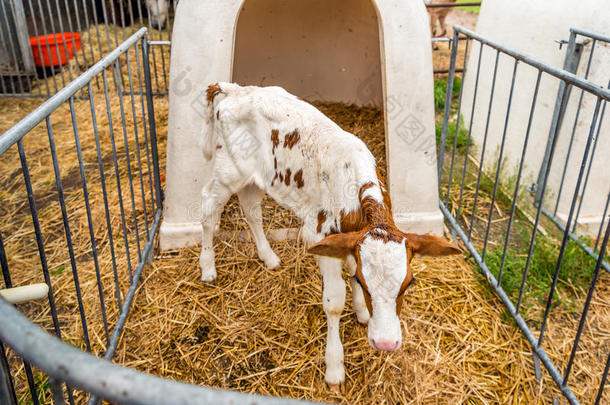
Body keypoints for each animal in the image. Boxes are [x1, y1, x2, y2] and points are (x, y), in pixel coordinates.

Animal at [197, 82, 458, 388]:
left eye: (409, 283)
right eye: (366, 284)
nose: (385, 343)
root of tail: (233, 89)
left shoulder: (350, 239)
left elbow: (352, 266)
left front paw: (362, 312)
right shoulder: (319, 235)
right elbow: (334, 302)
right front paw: (335, 367)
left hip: (259, 177)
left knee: (251, 209)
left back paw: (269, 257)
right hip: (228, 171)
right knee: (209, 210)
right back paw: (208, 267)